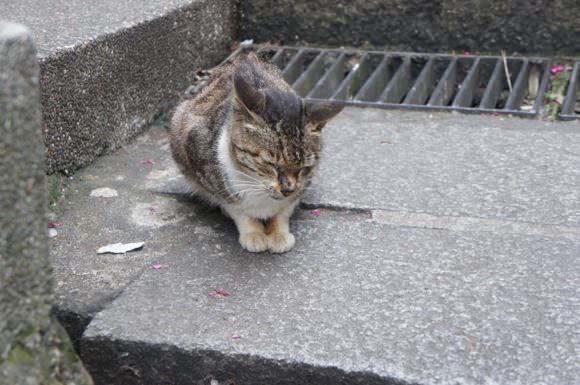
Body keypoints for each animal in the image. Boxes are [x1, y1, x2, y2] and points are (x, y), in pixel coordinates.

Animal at [170, 54, 342, 252]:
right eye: (270, 163)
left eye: (304, 167)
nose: (288, 189)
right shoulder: (205, 165)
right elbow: (237, 208)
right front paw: (253, 233)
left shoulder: (302, 186)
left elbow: (284, 210)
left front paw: (278, 233)